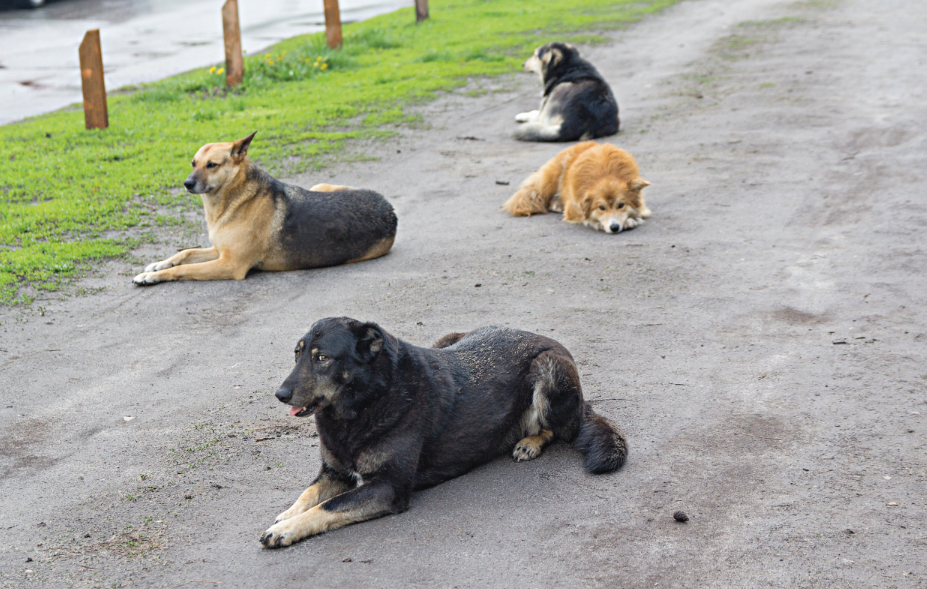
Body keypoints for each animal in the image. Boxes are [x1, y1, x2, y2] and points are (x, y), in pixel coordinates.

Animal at [133, 132, 396, 284]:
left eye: (212, 165)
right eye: (193, 163)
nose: (187, 184)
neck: (235, 199)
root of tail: (390, 209)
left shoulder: (230, 265)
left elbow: (186, 269)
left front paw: (153, 276)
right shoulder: (219, 251)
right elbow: (185, 253)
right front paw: (158, 265)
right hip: (321, 186)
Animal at [260, 316, 632, 548]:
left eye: (322, 358)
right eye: (297, 354)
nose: (280, 394)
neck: (366, 402)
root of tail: (545, 338)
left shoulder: (389, 487)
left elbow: (328, 507)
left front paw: (287, 529)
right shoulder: (334, 472)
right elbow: (309, 495)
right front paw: (285, 517)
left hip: (548, 369)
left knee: (560, 428)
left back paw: (530, 441)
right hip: (447, 339)